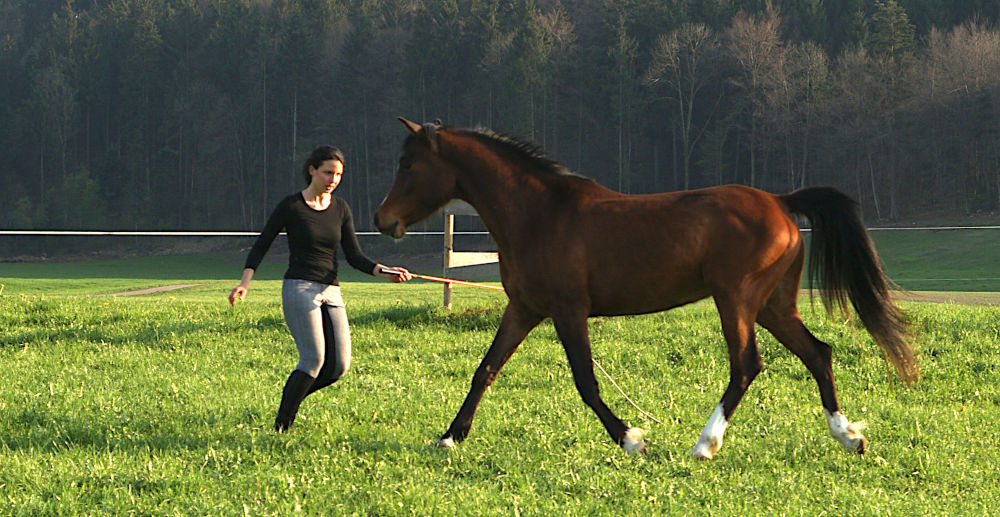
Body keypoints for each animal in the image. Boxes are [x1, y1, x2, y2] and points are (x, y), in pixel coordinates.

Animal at [374, 119, 916, 458]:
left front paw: (632, 439)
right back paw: (849, 436)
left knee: (746, 365)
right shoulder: (525, 309)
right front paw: (450, 438)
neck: (539, 214)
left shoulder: (569, 310)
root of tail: (782, 201)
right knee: (818, 353)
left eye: (408, 165)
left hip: (736, 300)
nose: (383, 221)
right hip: (773, 306)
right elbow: (485, 369)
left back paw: (705, 445)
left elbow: (586, 382)